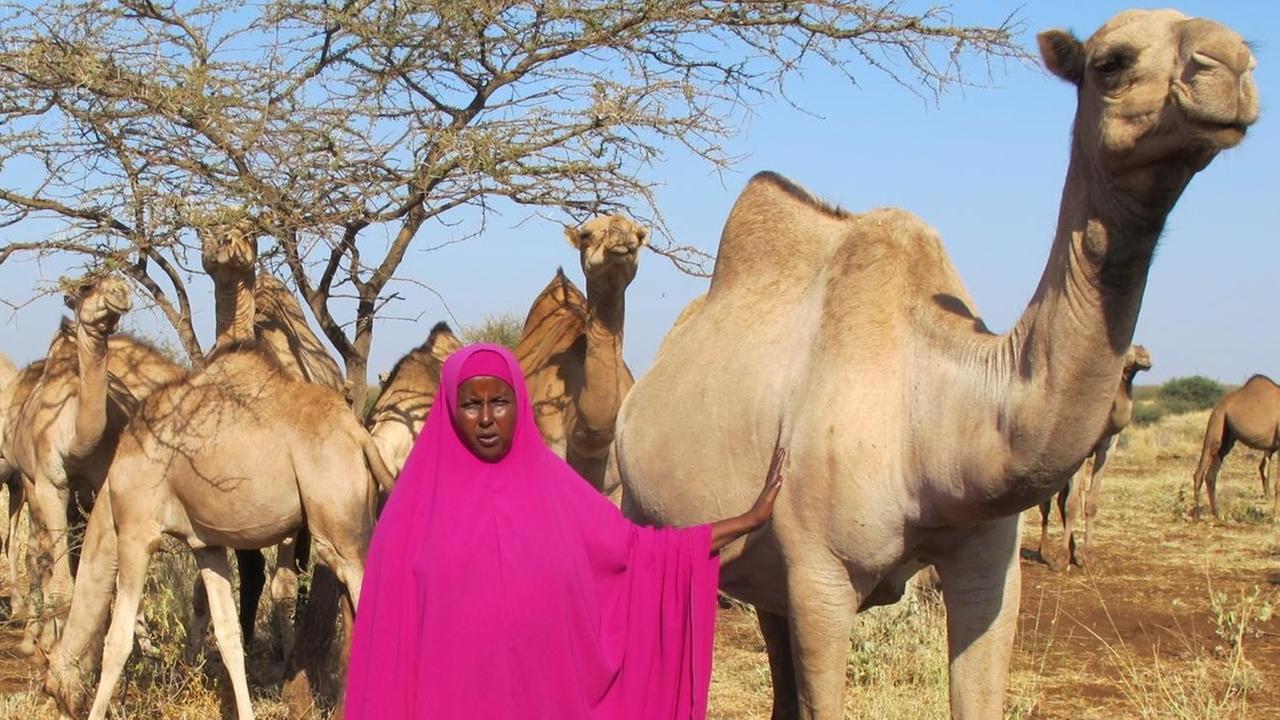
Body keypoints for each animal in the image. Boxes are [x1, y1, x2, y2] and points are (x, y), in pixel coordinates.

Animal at [1034, 340, 1157, 566]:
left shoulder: (1106, 446)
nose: (1145, 356)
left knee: (1057, 499)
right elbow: (1071, 504)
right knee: (1046, 502)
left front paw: (1087, 555)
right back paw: (1046, 552)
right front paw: (1061, 558)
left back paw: (1071, 552)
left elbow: (1090, 502)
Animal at [1187, 368, 1280, 515]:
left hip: (1228, 438)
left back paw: (1216, 514)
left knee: (1211, 474)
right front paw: (1275, 516)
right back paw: (1198, 516)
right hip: (1216, 425)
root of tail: (1219, 405)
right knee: (1199, 472)